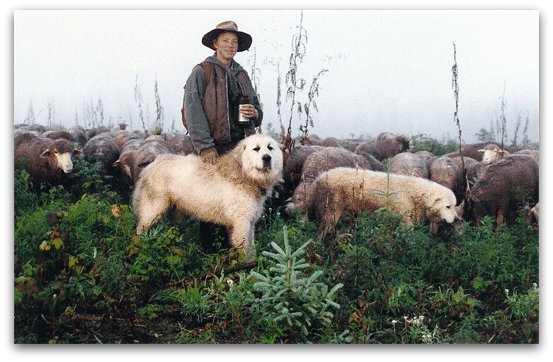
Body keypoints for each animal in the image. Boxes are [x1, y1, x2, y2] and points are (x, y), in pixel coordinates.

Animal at [132, 133, 282, 260]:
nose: (267, 158)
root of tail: (153, 162)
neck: (244, 174)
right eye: (256, 149)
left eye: (270, 148)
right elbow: (245, 250)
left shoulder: (249, 223)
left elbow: (252, 248)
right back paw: (139, 248)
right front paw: (248, 269)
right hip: (153, 210)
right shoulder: (241, 223)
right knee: (140, 230)